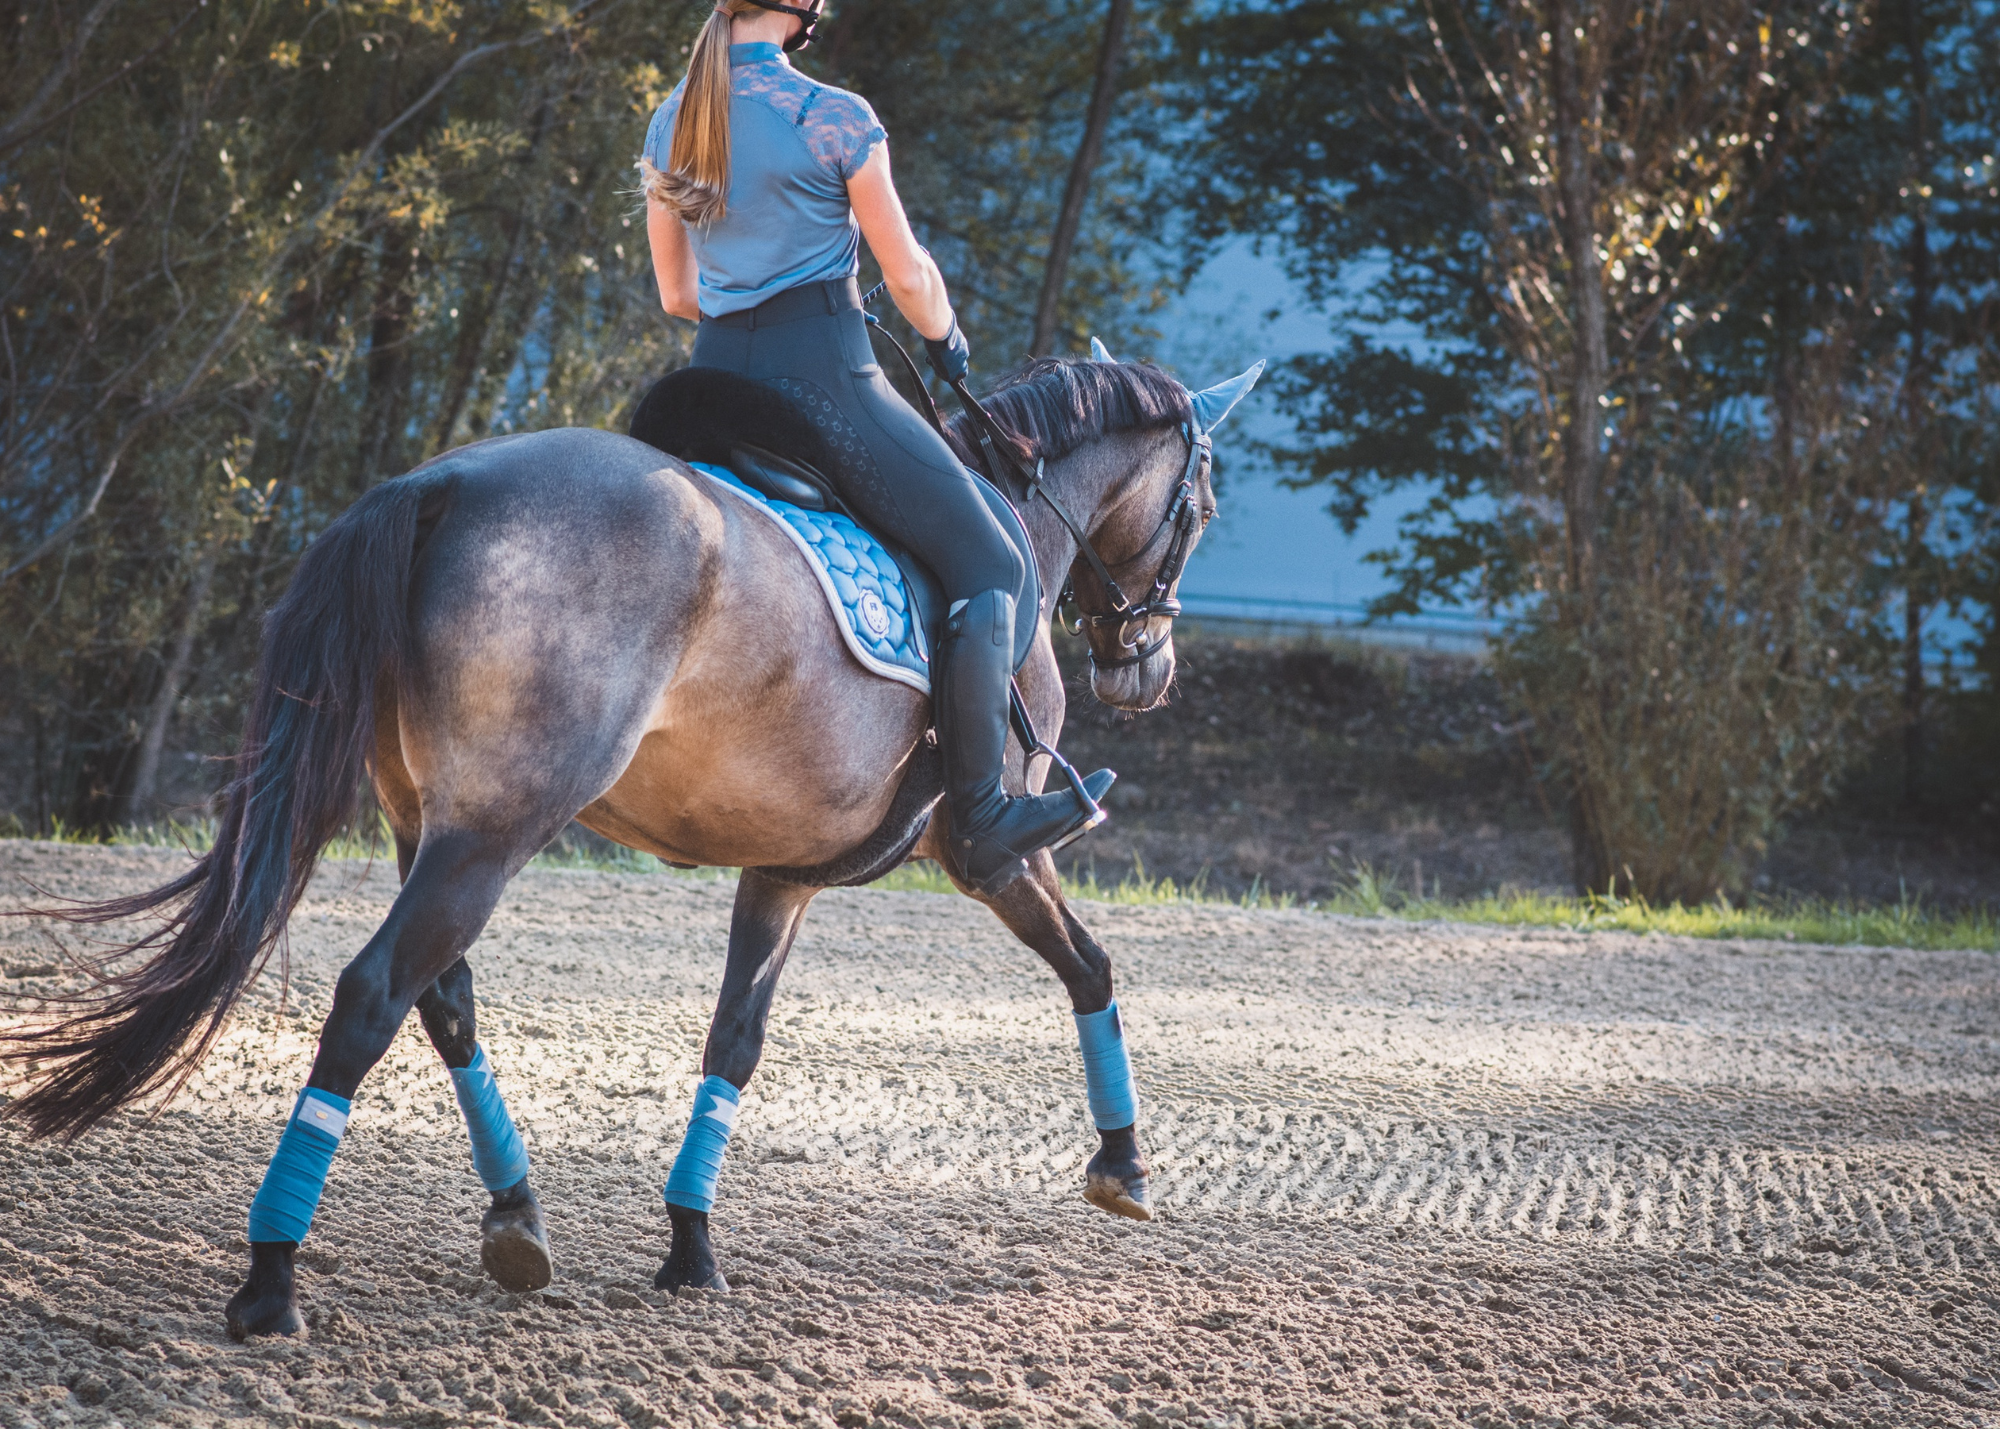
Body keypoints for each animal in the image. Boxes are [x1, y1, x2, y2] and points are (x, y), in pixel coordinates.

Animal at [1, 351, 1261, 1339]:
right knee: (372, 995)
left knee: (441, 998)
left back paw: (515, 1217)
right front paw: (1123, 1164)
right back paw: (272, 1281)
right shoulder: (993, 853)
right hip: (500, 827)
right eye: (1201, 506)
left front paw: (690, 1245)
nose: (1146, 668)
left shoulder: (780, 874)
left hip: (433, 823)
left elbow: (733, 1040)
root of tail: (440, 480)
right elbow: (1091, 964)